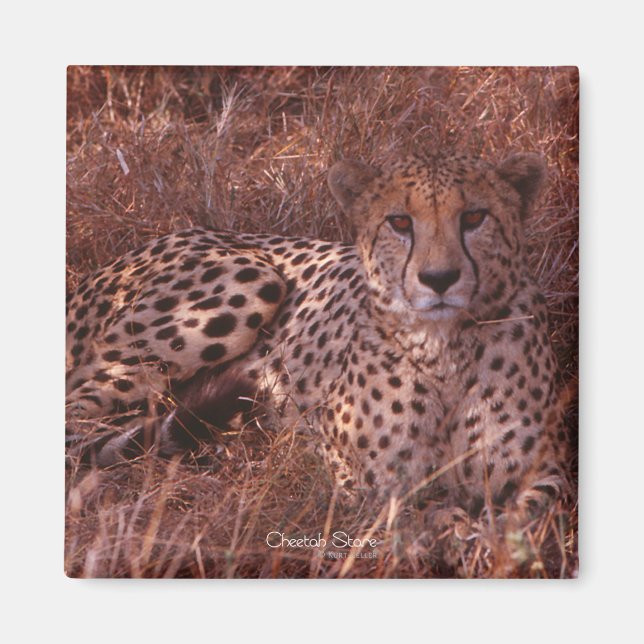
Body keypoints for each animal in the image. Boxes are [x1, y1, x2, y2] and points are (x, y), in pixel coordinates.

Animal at [66, 150, 568, 515]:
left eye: (474, 217)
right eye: (399, 222)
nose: (439, 279)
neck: (444, 348)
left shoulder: (548, 471)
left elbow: (530, 514)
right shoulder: (358, 476)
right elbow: (418, 514)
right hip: (251, 280)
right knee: (78, 419)